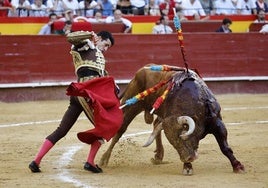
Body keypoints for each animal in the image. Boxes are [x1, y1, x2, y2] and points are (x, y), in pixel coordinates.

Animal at [100, 64, 245, 175]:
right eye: (174, 143)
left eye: (183, 136)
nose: (188, 158)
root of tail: (140, 70)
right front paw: (187, 167)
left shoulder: (218, 123)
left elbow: (225, 148)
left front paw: (237, 166)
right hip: (130, 105)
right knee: (120, 130)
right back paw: (104, 159)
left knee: (155, 125)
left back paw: (159, 156)